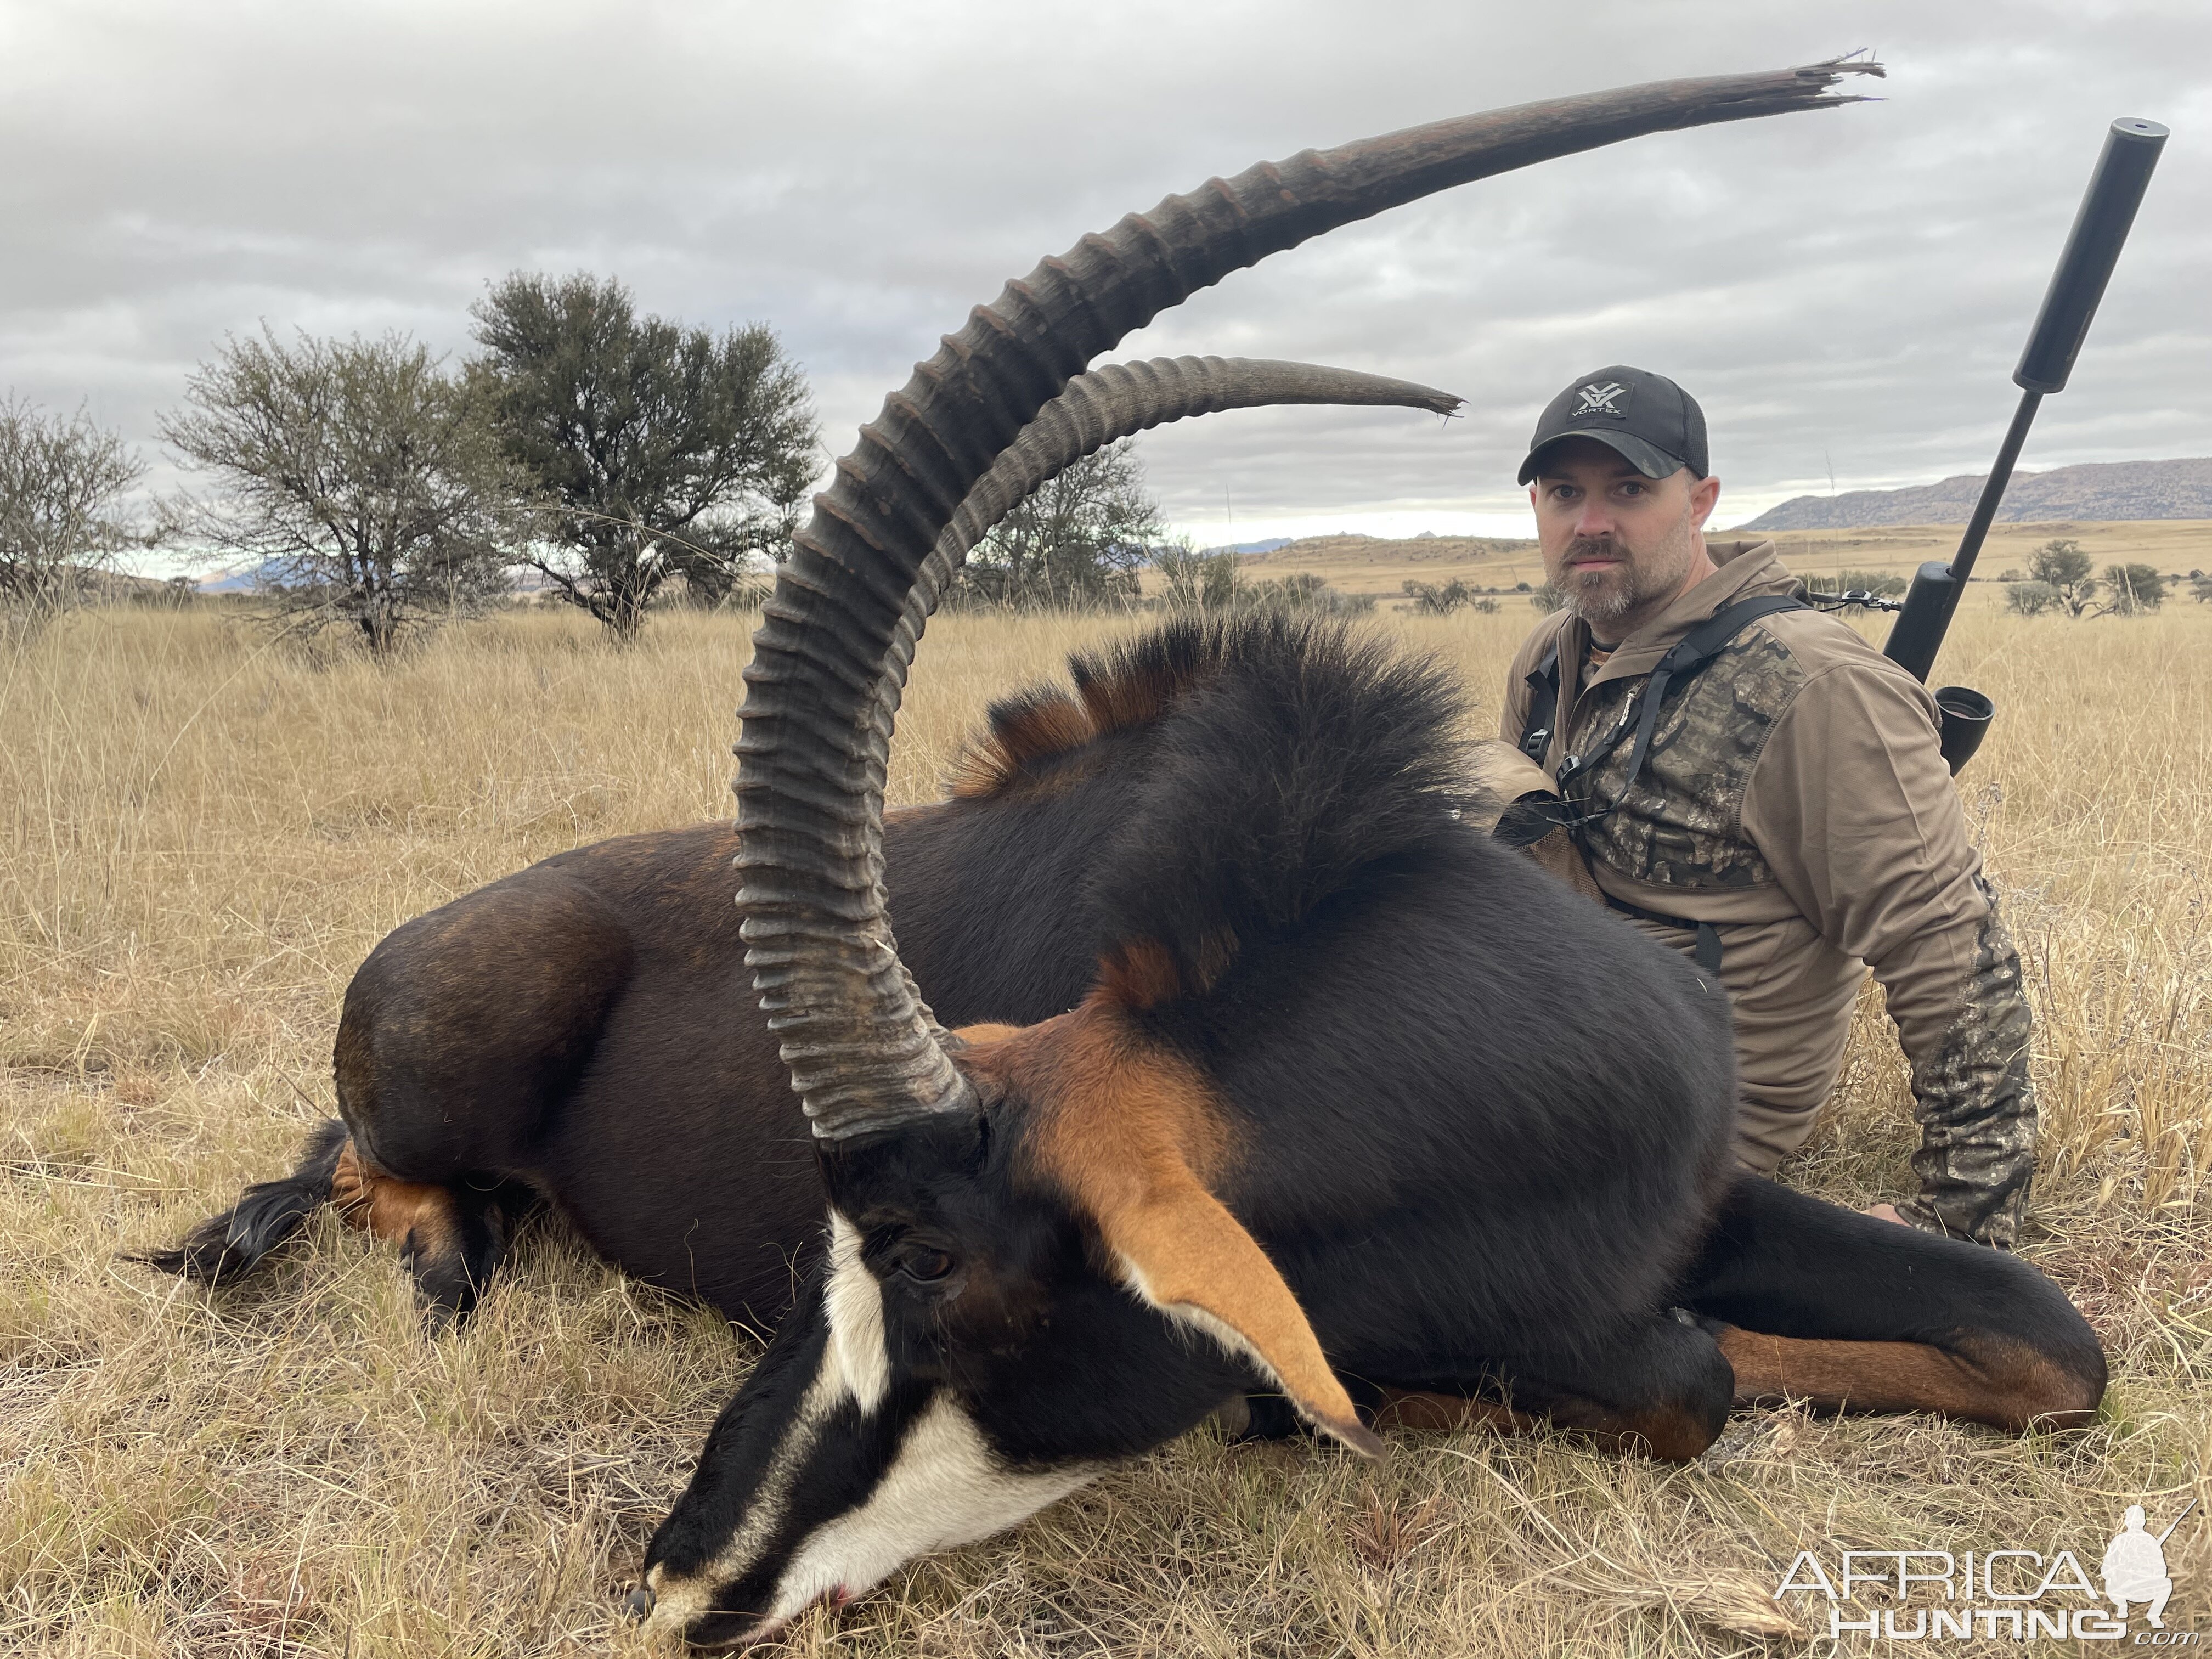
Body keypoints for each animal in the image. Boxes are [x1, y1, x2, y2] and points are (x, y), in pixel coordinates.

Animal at [628, 61, 2106, 1654]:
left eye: (925, 1257)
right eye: (832, 1246)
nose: (684, 1578)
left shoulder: (1709, 1199)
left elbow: (2048, 1345)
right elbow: (1681, 1376)